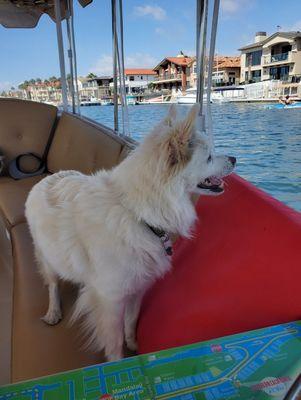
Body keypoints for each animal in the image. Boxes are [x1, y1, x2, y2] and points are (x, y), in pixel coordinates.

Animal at [25, 104, 234, 360]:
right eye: (210, 157)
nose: (235, 158)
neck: (138, 214)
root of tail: (49, 177)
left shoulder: (137, 288)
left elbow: (132, 320)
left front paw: (133, 344)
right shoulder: (110, 300)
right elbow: (114, 340)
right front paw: (116, 360)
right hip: (47, 256)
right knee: (52, 284)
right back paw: (53, 311)